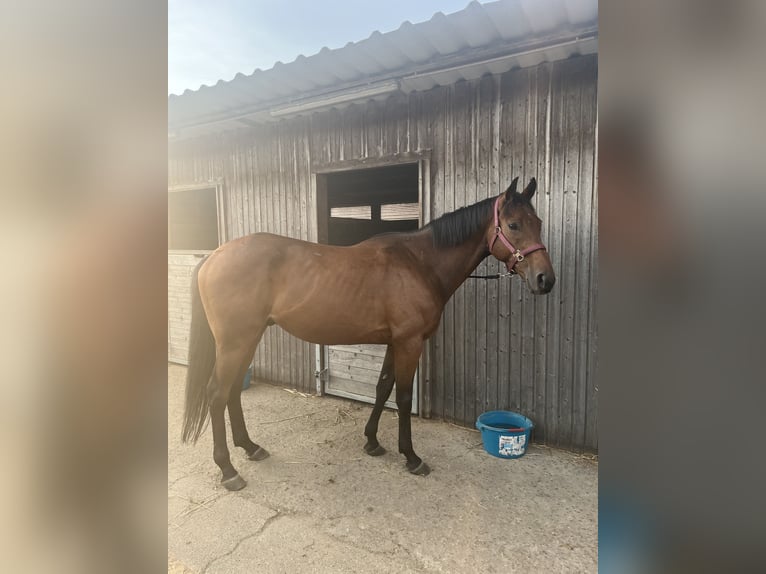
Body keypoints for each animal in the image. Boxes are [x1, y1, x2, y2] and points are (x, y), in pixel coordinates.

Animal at [186, 176, 560, 490]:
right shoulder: (410, 343)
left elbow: (382, 388)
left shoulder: (395, 343)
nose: (545, 280)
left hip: (248, 339)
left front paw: (372, 442)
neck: (418, 262)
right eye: (513, 224)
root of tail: (213, 256)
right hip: (235, 342)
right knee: (217, 393)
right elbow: (404, 397)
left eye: (538, 223)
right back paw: (228, 470)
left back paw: (250, 447)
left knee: (232, 392)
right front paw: (411, 457)